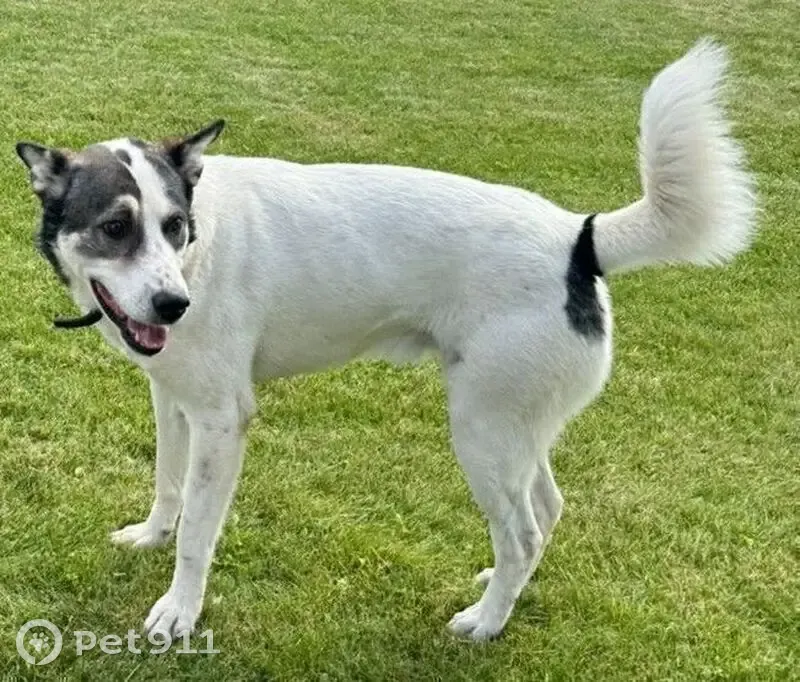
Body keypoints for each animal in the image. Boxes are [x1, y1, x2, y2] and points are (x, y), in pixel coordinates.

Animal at [16, 40, 755, 641]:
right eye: (116, 228)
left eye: (175, 226)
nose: (174, 305)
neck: (202, 249)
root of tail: (580, 238)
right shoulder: (173, 401)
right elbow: (168, 486)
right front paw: (150, 536)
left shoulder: (223, 420)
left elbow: (198, 531)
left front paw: (179, 611)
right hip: (514, 427)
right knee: (546, 510)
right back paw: (500, 588)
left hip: (481, 432)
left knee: (522, 532)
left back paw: (486, 623)